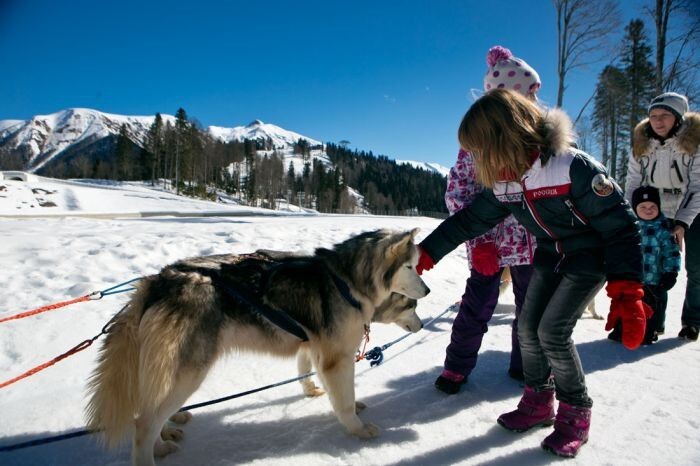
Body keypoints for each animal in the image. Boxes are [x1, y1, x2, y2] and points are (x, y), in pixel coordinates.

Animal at [85, 228, 430, 464]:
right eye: (411, 268)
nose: (427, 292)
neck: (347, 280)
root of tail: (158, 281)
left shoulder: (313, 346)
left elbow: (310, 373)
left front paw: (316, 392)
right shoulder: (337, 357)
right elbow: (342, 401)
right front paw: (357, 429)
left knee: (149, 410)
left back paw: (166, 433)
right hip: (188, 372)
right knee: (143, 423)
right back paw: (153, 446)